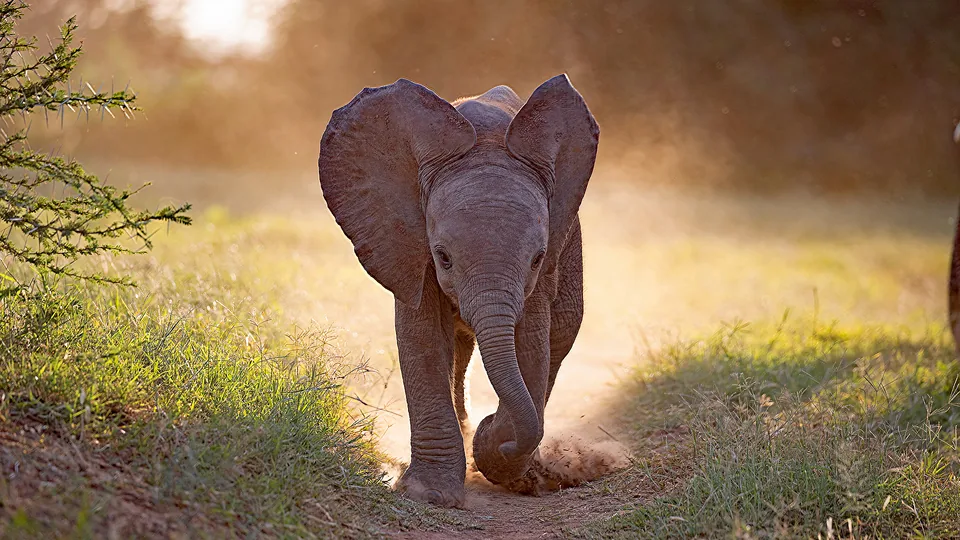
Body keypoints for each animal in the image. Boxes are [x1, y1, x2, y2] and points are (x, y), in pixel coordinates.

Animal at [317, 74, 598, 507]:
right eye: (443, 257)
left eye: (537, 258)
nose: (495, 433)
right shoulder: (407, 245)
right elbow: (423, 337)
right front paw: (429, 493)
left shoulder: (545, 262)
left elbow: (531, 344)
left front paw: (495, 455)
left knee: (559, 338)